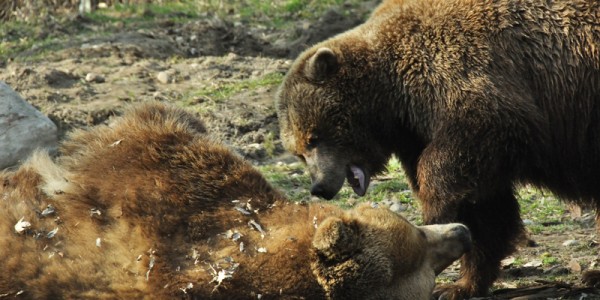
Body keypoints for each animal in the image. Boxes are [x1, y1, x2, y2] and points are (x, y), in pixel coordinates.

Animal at [276, 0, 600, 298]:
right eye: (298, 152)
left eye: (314, 137)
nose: (320, 186)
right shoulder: (420, 136)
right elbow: (485, 209)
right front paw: (460, 284)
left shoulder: (466, 80)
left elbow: (471, 141)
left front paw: (434, 212)